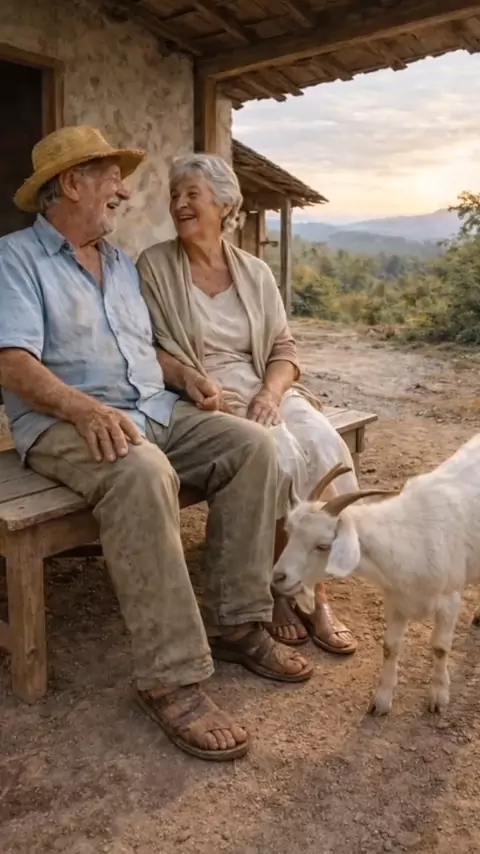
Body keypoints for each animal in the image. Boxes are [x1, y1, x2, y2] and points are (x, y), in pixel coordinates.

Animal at [273, 441, 480, 716]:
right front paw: (381, 700)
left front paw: (438, 696)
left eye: (322, 545)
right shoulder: (395, 602)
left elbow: (440, 647)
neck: (412, 539)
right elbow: (390, 647)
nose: (278, 577)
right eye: (288, 533)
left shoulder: (449, 600)